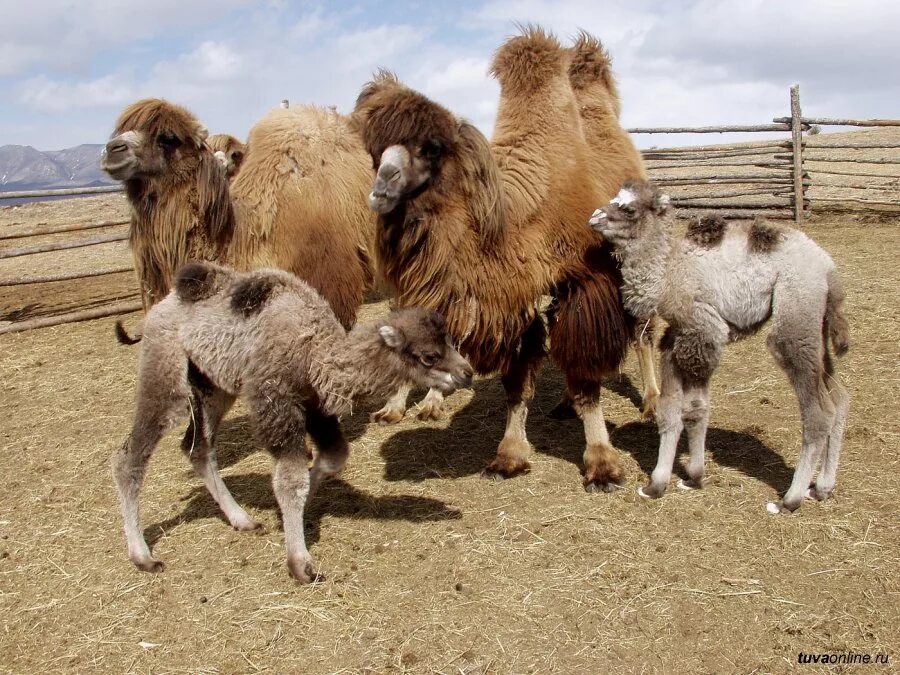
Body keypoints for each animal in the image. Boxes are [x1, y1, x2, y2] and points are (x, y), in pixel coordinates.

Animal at [348, 27, 636, 492]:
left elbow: (586, 376)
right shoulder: (513, 299)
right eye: (374, 150)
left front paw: (602, 464)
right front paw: (510, 455)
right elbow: (518, 380)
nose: (381, 188)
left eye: (431, 147)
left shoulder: (587, 279)